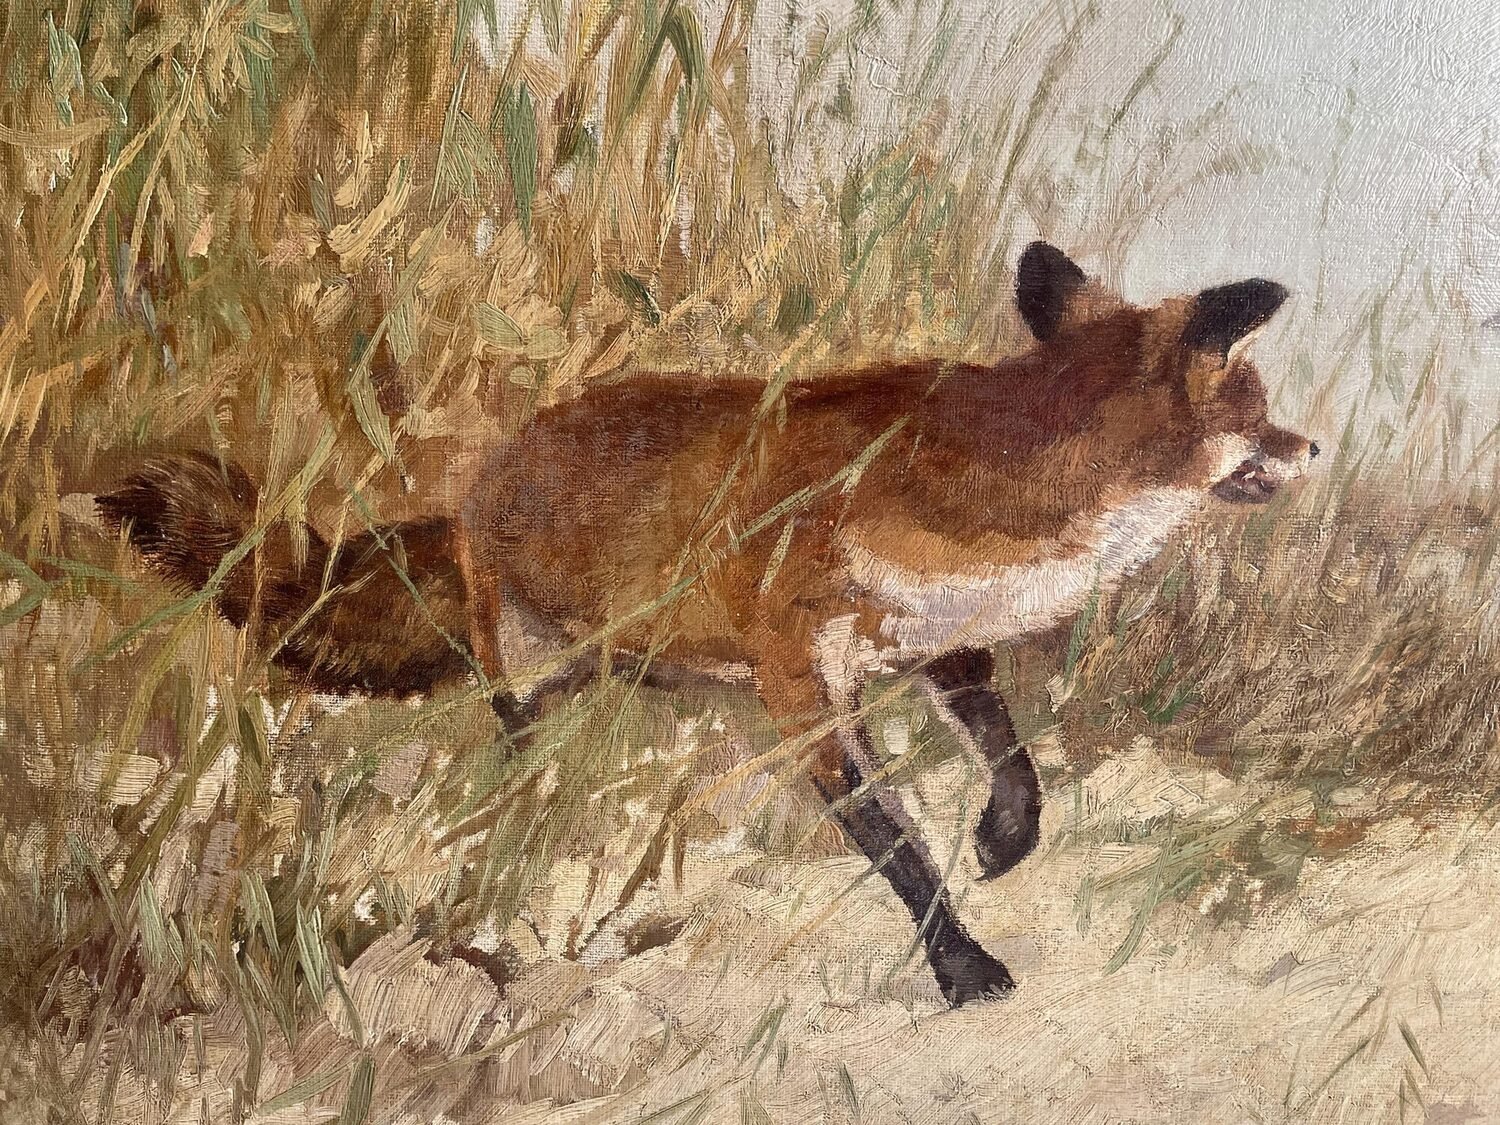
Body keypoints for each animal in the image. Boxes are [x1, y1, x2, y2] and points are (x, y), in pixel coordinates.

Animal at [99, 242, 1317, 1006]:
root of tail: (476, 486)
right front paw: (963, 968)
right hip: (536, 666)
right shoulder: (798, 684)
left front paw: (1001, 843)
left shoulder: (932, 642)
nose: (1313, 447)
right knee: (516, 736)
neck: (973, 491)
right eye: (1258, 410)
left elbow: (1014, 763)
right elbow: (895, 846)